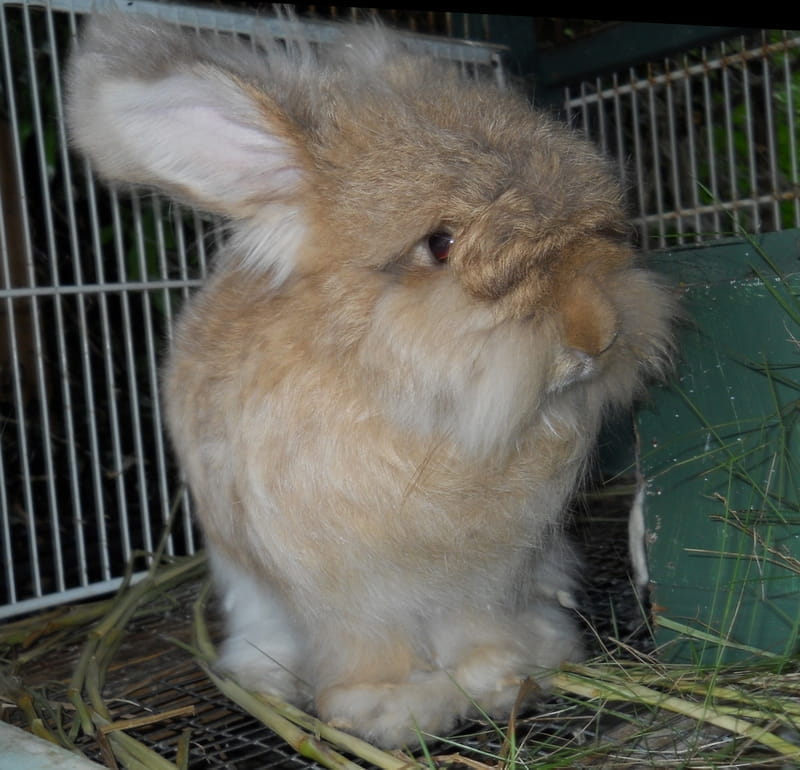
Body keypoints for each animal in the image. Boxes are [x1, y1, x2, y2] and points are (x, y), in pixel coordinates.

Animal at [65, 10, 676, 744]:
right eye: (440, 244)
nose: (596, 336)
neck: (422, 419)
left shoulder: (490, 578)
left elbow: (478, 632)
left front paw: (500, 678)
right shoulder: (350, 594)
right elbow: (373, 650)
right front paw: (388, 709)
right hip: (247, 585)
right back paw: (269, 679)